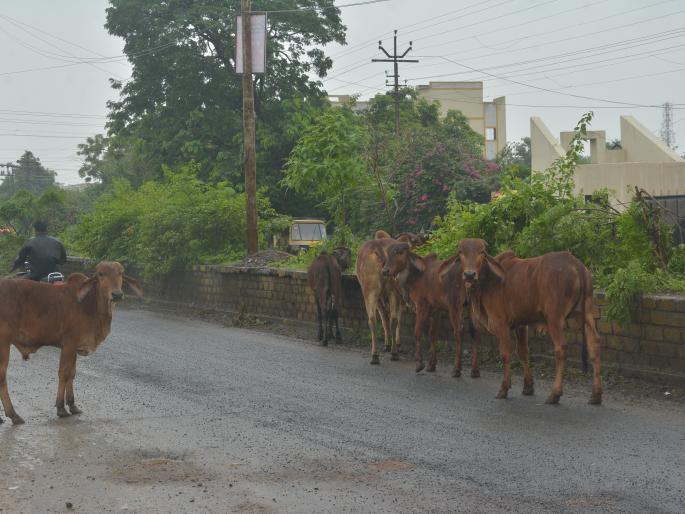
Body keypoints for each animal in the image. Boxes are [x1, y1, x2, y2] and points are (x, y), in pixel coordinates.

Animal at [0, 261, 143, 424]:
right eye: (100, 274)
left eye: (121, 273)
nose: (117, 294)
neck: (90, 304)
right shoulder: (68, 344)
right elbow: (64, 373)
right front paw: (61, 408)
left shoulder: (74, 347)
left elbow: (72, 374)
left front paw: (73, 405)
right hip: (4, 343)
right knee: (2, 377)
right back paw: (13, 415)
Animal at [380, 243, 480, 377]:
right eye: (388, 253)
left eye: (400, 252)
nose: (385, 270)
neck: (414, 276)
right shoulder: (436, 309)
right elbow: (433, 334)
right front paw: (432, 365)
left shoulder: (422, 305)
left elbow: (417, 332)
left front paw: (419, 364)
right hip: (471, 306)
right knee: (475, 331)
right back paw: (475, 370)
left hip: (455, 306)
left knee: (459, 331)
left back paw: (456, 369)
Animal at [456, 239, 602, 405]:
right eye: (461, 252)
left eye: (481, 252)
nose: (469, 274)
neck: (487, 280)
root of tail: (576, 264)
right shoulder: (520, 324)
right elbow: (523, 352)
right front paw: (528, 387)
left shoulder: (500, 323)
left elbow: (505, 353)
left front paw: (504, 388)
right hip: (585, 313)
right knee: (594, 344)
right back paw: (596, 394)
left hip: (554, 318)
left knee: (561, 348)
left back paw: (555, 394)